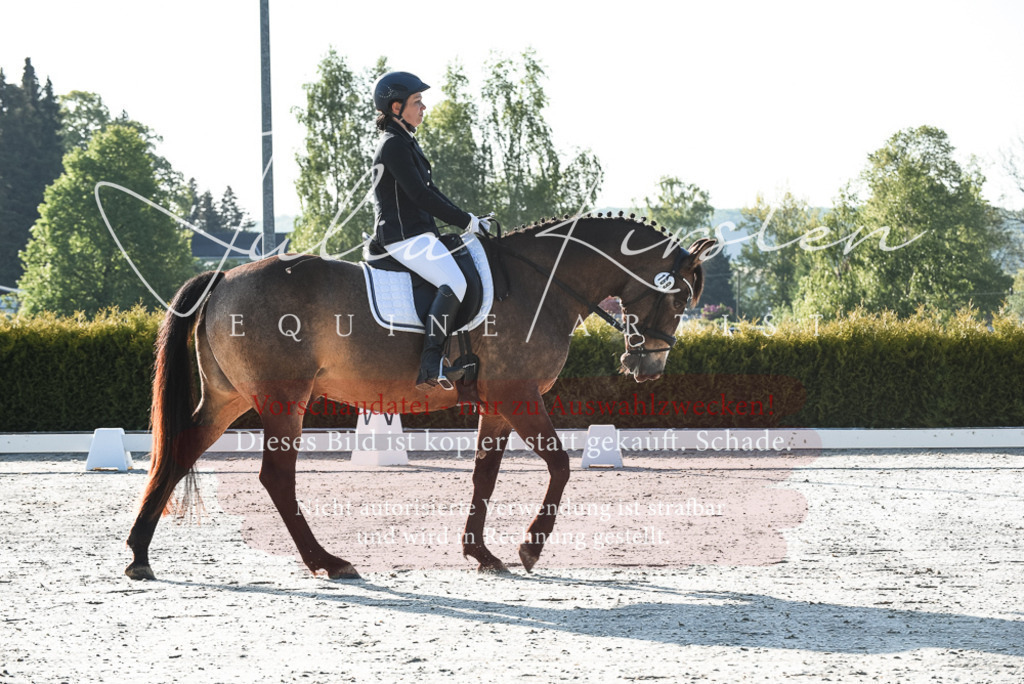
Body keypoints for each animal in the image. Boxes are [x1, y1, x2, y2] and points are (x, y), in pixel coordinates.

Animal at [125, 213, 716, 580]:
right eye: (679, 299)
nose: (647, 368)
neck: (542, 282)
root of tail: (225, 277)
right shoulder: (519, 395)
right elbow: (561, 465)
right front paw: (529, 546)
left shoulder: (498, 404)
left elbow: (484, 476)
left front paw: (482, 553)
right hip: (282, 399)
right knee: (275, 478)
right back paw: (328, 561)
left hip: (231, 398)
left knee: (179, 451)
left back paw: (139, 555)